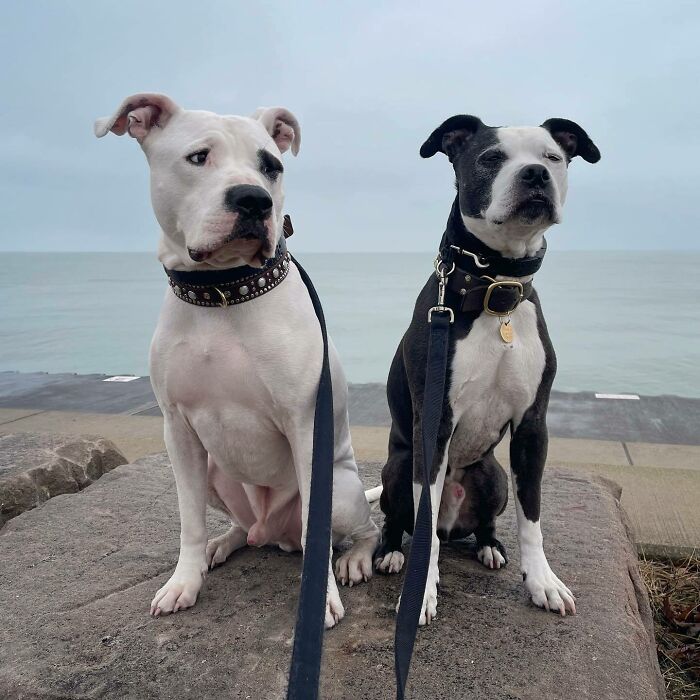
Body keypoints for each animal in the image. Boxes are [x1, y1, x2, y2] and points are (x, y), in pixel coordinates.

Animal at [94, 94, 378, 628]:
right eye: (198, 157)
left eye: (272, 166)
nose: (254, 199)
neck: (222, 291)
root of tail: (272, 531)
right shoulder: (177, 431)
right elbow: (188, 522)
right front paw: (184, 580)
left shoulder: (306, 426)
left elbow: (316, 529)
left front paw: (321, 598)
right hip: (212, 473)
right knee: (240, 529)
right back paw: (222, 545)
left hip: (343, 487)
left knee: (352, 530)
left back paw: (354, 557)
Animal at [374, 113, 600, 624]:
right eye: (491, 157)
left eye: (553, 156)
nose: (535, 175)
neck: (496, 288)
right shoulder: (433, 424)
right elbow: (423, 517)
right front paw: (421, 591)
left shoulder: (533, 426)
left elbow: (532, 516)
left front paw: (541, 581)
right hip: (398, 466)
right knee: (401, 521)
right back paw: (389, 552)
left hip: (492, 477)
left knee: (484, 521)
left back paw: (489, 546)